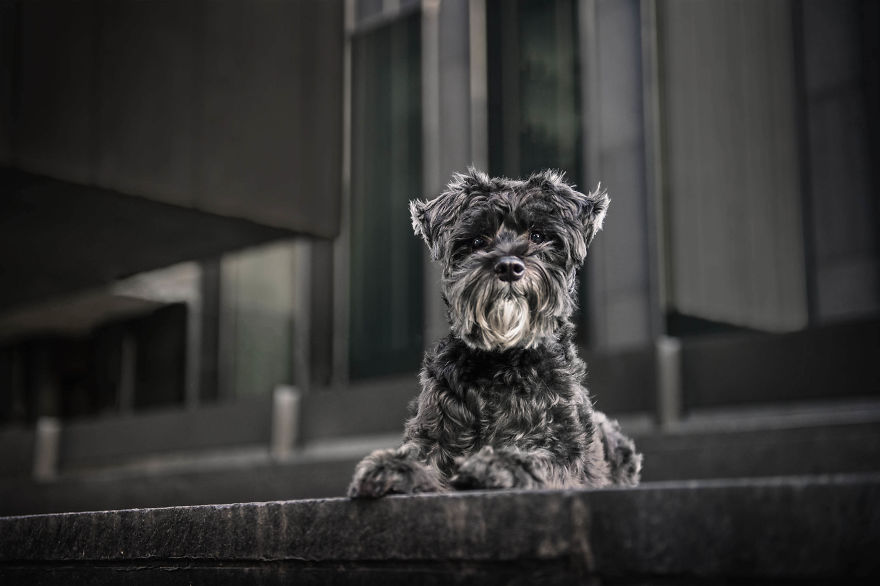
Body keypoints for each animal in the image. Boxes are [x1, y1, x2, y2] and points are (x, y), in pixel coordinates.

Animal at [348, 167, 644, 496]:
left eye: (538, 236)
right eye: (478, 241)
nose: (509, 266)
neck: (504, 360)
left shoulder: (566, 448)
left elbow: (539, 460)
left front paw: (500, 464)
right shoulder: (435, 433)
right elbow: (423, 454)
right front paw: (395, 468)